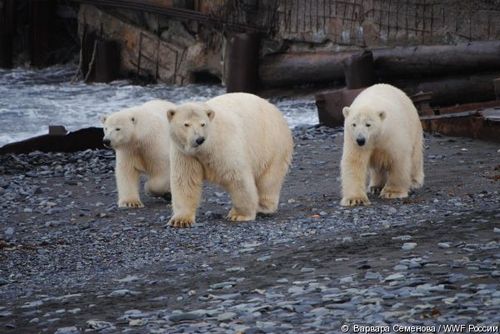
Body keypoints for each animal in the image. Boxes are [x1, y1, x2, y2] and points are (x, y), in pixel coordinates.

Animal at [166, 92, 294, 228]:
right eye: (186, 124)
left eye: (203, 124)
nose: (199, 139)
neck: (205, 149)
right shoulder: (184, 154)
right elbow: (185, 181)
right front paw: (181, 220)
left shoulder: (224, 146)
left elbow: (237, 177)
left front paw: (239, 215)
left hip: (272, 145)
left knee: (269, 180)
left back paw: (263, 207)